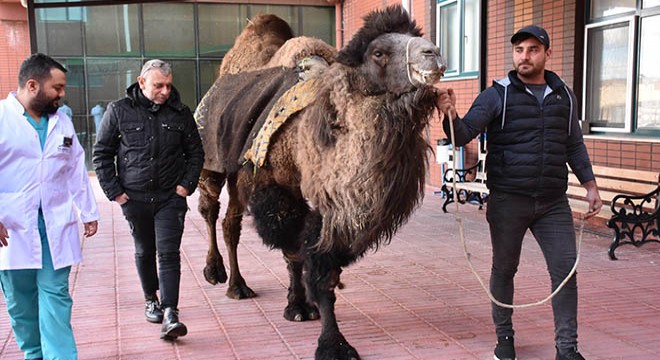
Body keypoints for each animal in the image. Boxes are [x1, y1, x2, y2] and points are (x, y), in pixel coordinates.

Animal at [193, 6, 446, 360]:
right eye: (378, 52)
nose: (432, 53)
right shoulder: (277, 189)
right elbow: (298, 254)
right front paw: (331, 340)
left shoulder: (334, 207)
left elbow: (319, 262)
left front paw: (304, 307)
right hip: (211, 161)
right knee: (209, 208)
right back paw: (217, 274)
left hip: (237, 176)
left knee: (231, 222)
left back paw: (239, 285)